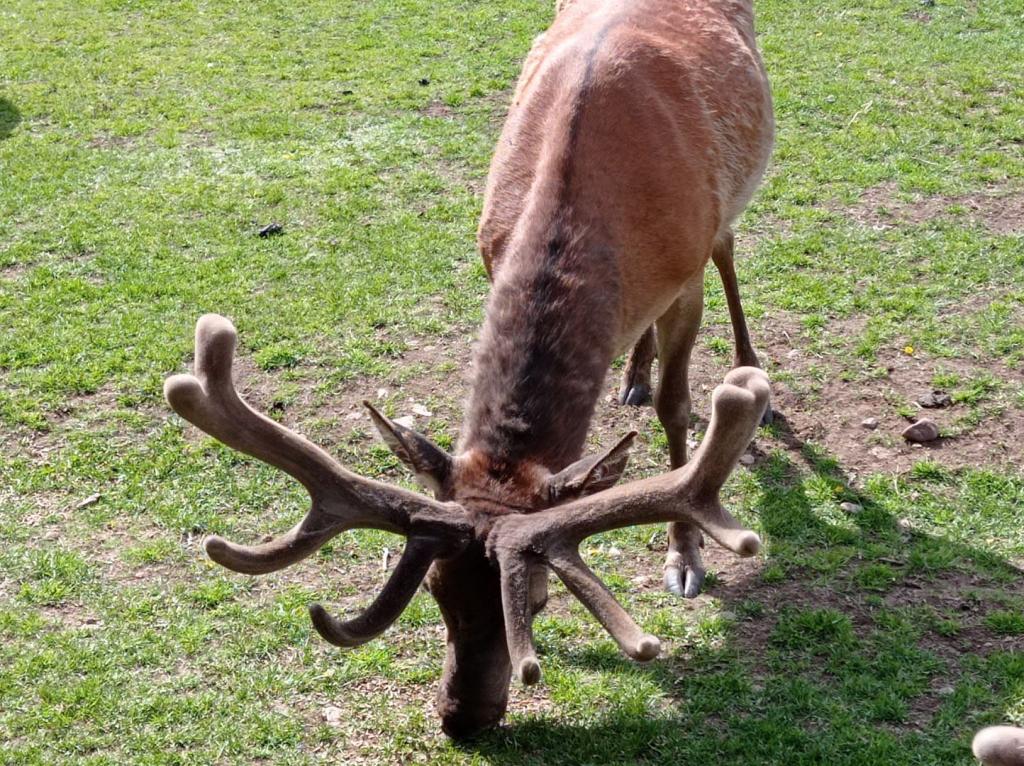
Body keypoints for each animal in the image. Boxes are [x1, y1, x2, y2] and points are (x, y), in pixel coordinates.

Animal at [165, 0, 774, 737]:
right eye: (436, 590)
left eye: (539, 598)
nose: (461, 719)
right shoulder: (492, 256)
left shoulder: (684, 276)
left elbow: (678, 409)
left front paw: (684, 557)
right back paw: (632, 373)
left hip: (725, 204)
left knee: (730, 249)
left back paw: (747, 370)